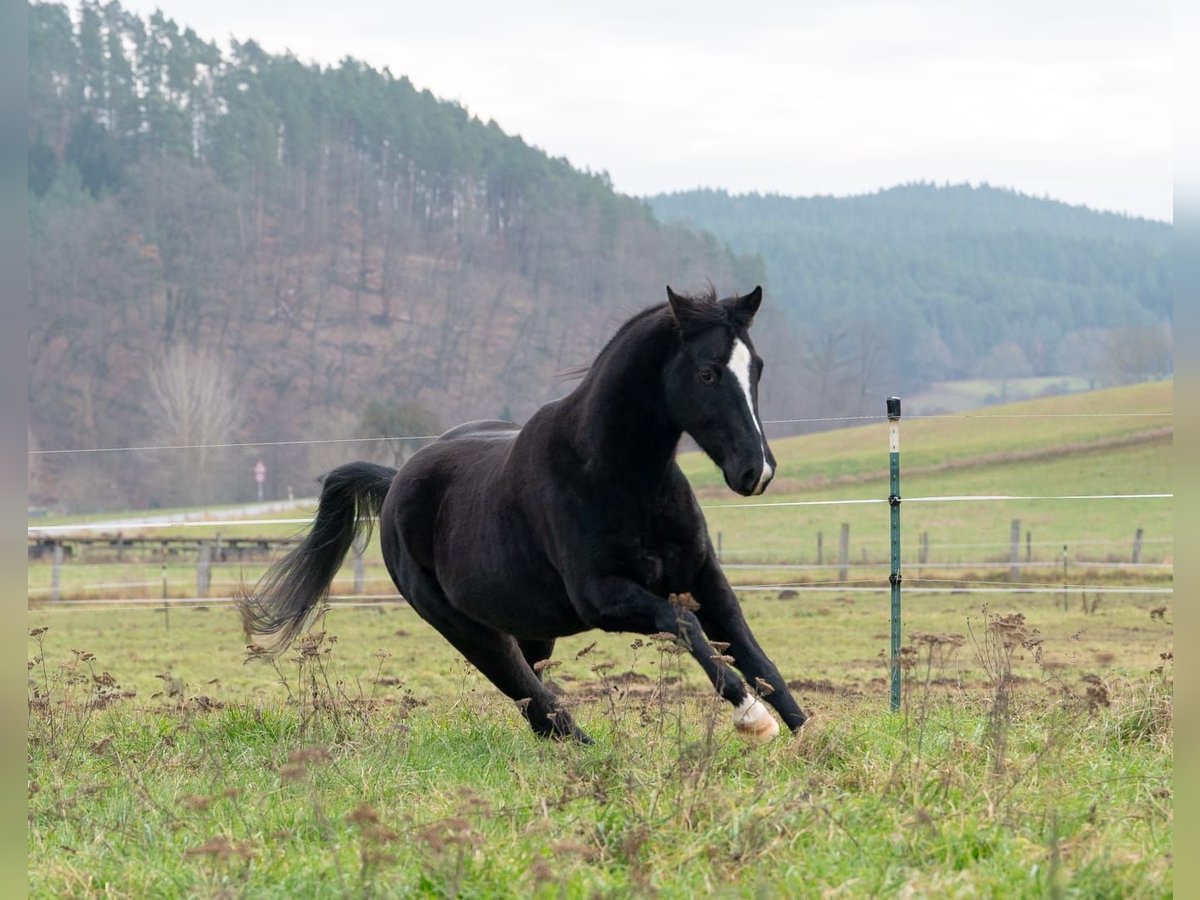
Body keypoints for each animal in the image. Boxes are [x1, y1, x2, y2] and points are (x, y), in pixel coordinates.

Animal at [239, 286, 808, 744]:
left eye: (756, 368)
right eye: (708, 373)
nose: (757, 471)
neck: (617, 476)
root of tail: (396, 479)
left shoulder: (703, 577)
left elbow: (753, 653)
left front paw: (807, 736)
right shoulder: (605, 598)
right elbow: (686, 626)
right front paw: (754, 719)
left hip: (533, 625)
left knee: (532, 692)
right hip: (466, 627)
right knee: (528, 694)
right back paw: (583, 744)